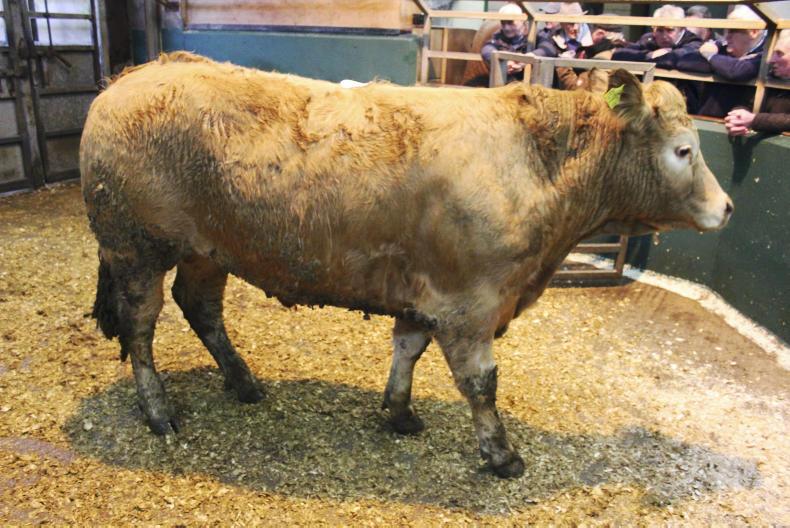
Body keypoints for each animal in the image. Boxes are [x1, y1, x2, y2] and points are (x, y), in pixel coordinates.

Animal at [80, 52, 732, 478]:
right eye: (684, 151)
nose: (726, 207)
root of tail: (132, 76)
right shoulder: (471, 303)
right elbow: (481, 382)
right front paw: (502, 455)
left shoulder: (429, 290)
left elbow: (407, 348)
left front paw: (399, 413)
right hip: (135, 249)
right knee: (141, 327)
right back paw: (159, 410)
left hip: (207, 249)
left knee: (201, 307)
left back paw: (243, 382)